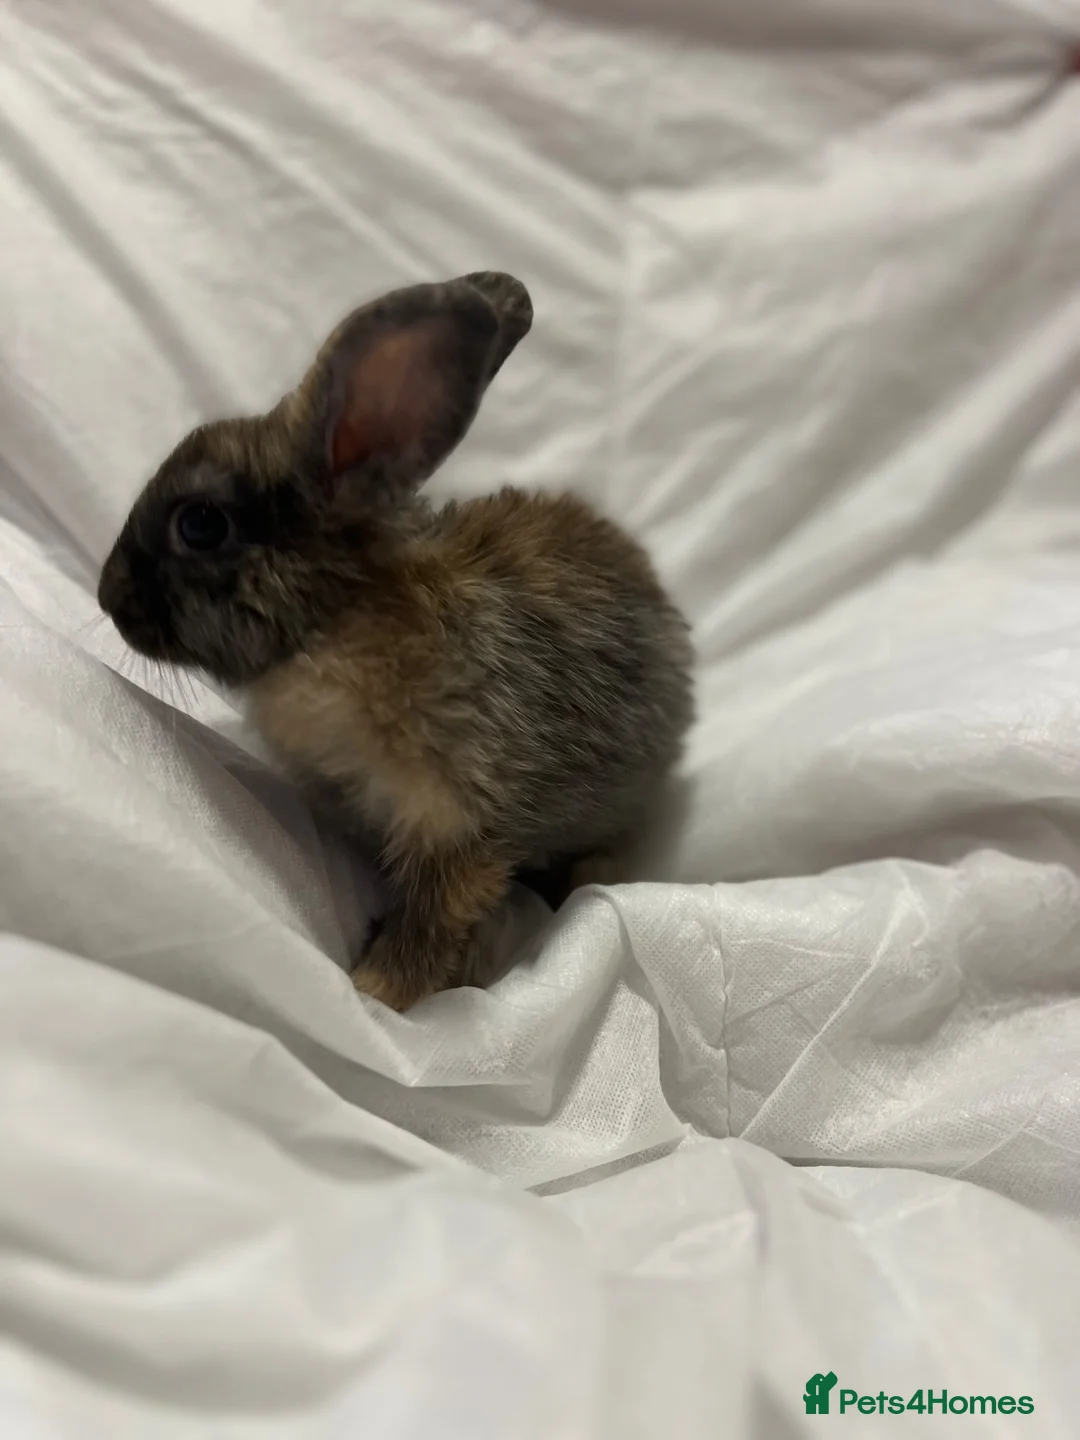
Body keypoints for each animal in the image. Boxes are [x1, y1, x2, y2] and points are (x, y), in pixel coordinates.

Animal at [98, 272, 695, 1011]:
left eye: (201, 525)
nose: (108, 598)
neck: (336, 625)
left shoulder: (460, 826)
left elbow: (433, 918)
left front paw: (377, 988)